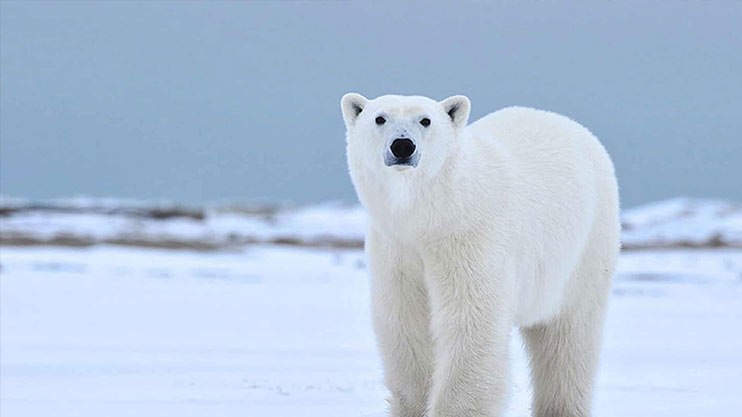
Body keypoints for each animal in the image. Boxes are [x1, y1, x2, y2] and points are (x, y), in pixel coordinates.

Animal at [341, 93, 620, 417]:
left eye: (425, 120)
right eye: (380, 118)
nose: (402, 146)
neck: (435, 214)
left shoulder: (470, 238)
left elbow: (471, 322)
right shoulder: (396, 247)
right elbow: (407, 322)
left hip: (585, 250)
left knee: (568, 339)